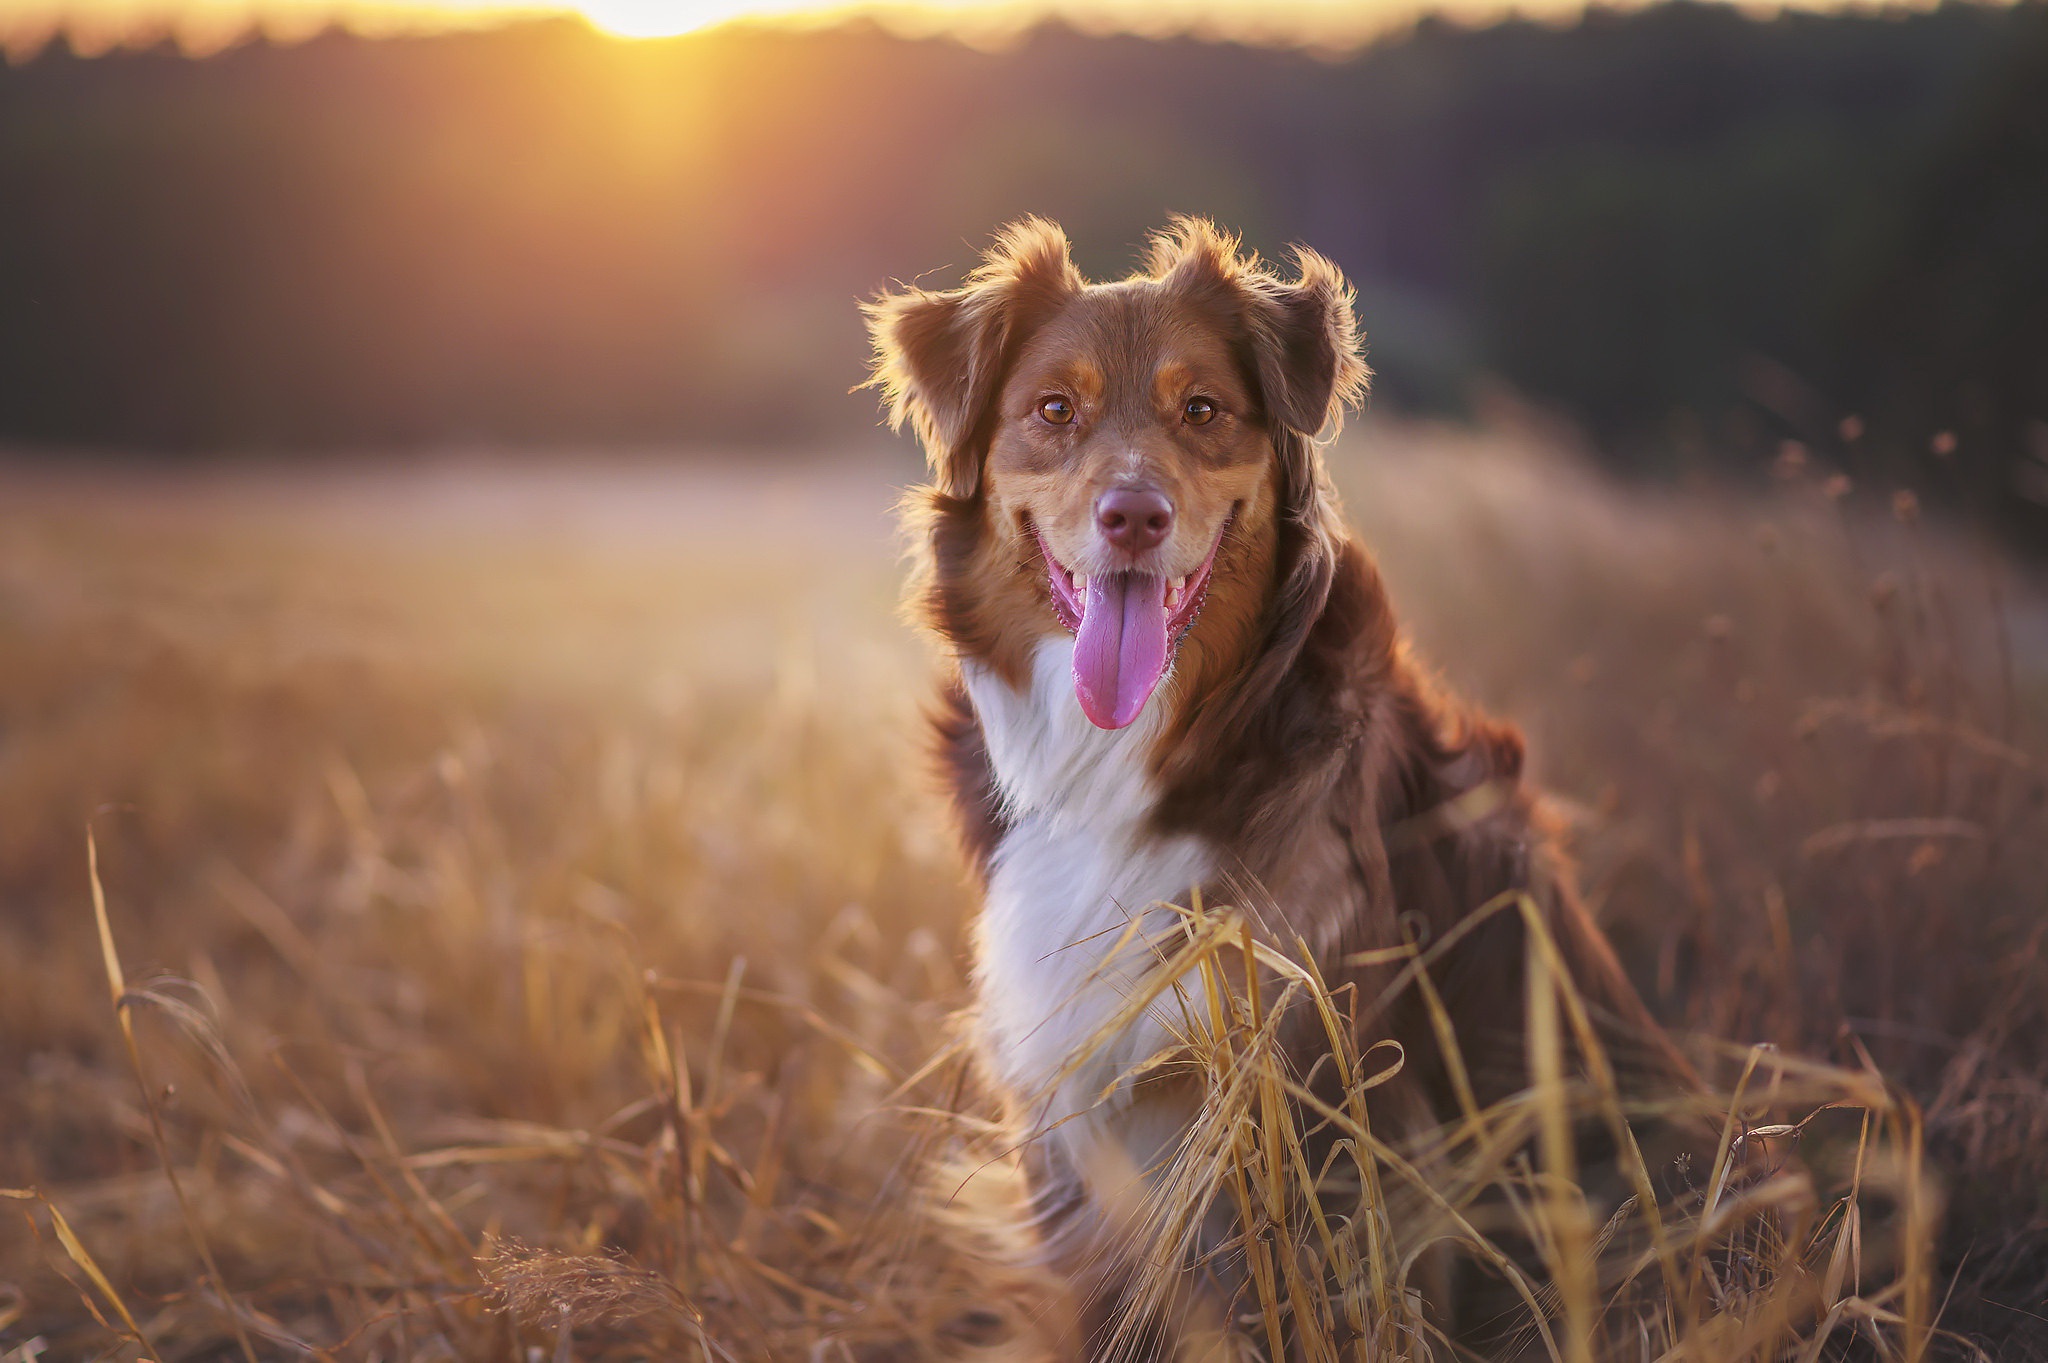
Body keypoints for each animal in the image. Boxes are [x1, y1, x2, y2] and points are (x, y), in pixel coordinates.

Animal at [864, 217, 1695, 1350]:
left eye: (1202, 410)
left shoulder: (1318, 1107)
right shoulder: (1073, 1121)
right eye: (1054, 411)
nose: (1133, 516)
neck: (1129, 762)